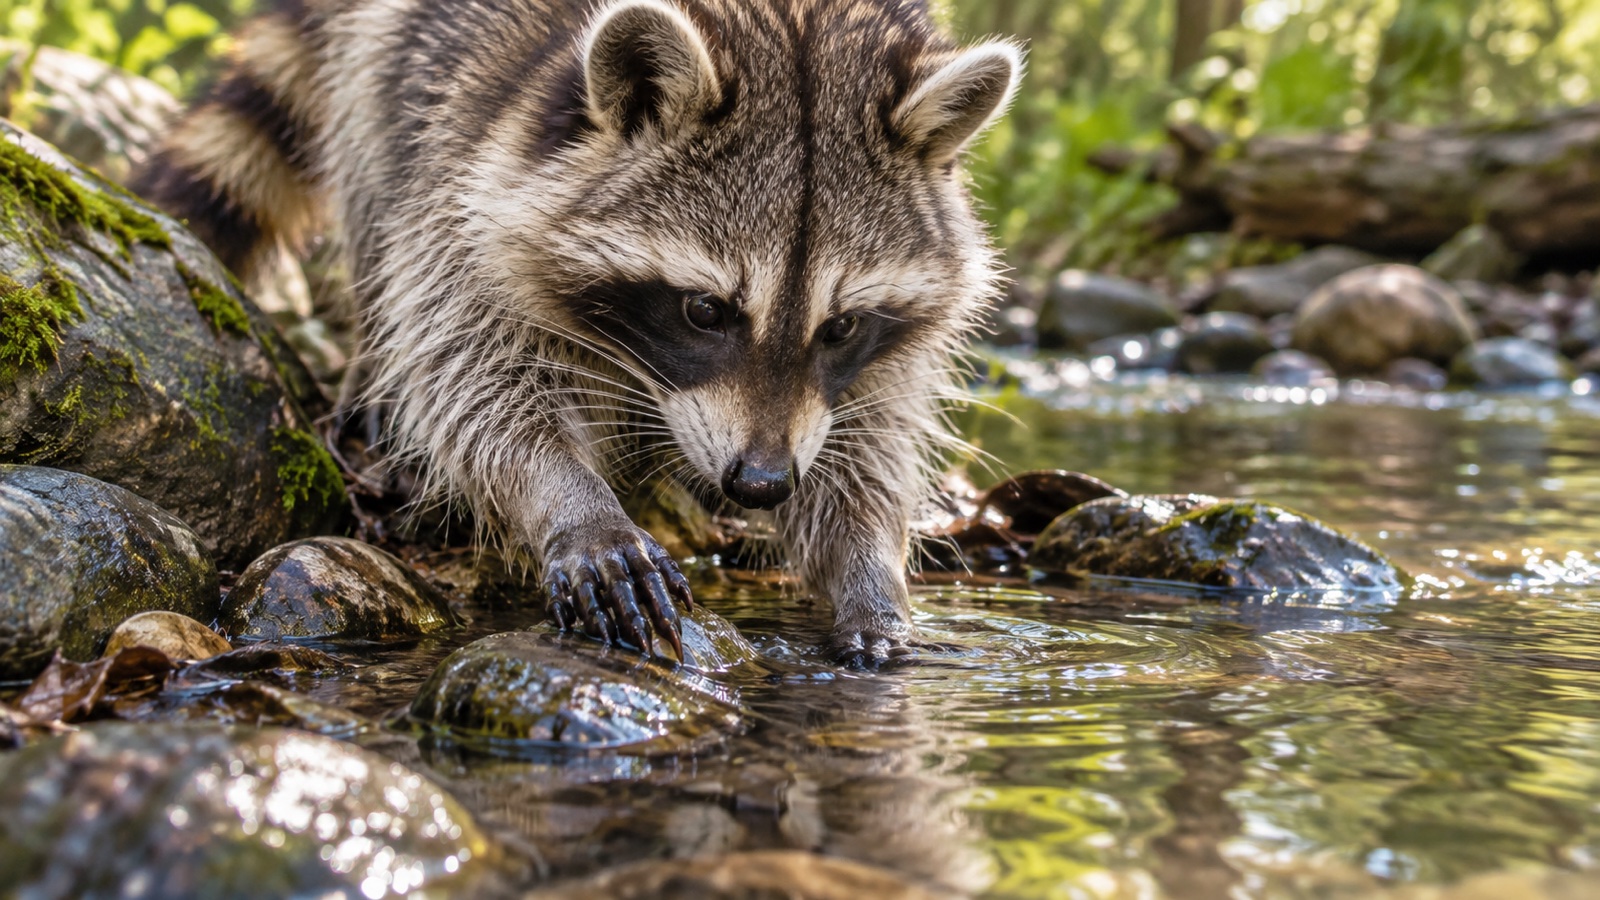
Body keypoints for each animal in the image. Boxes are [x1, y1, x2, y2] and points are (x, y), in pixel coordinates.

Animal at [133, 0, 1020, 666]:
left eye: (840, 326)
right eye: (706, 311)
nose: (762, 484)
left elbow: (867, 438)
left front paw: (869, 571)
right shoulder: (465, 168)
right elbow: (471, 374)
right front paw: (572, 500)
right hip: (389, 57)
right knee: (369, 157)